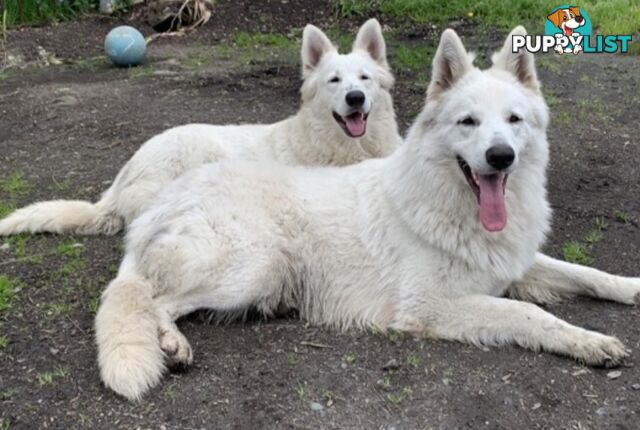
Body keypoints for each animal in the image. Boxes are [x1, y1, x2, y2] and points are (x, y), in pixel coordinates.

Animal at [95, 26, 640, 402]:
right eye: (468, 122)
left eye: (514, 120)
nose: (501, 156)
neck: (452, 204)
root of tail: (159, 204)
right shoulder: (431, 305)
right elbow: (528, 314)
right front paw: (587, 340)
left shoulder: (517, 264)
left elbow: (584, 272)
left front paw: (628, 290)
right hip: (252, 267)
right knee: (151, 299)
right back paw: (172, 345)